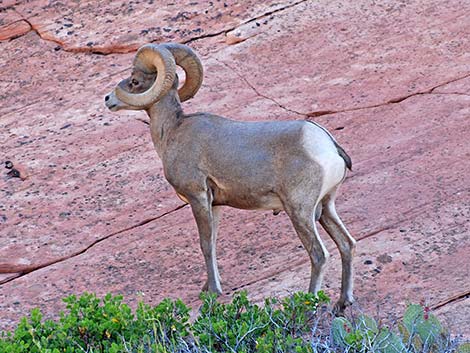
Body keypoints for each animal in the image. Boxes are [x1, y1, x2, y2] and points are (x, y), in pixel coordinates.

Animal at [104, 43, 356, 310]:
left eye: (134, 81)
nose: (108, 99)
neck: (173, 132)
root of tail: (328, 145)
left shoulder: (198, 197)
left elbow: (205, 244)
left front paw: (214, 292)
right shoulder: (215, 204)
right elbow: (213, 242)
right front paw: (207, 287)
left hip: (300, 212)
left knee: (318, 254)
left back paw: (309, 303)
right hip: (326, 208)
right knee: (347, 244)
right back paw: (343, 302)